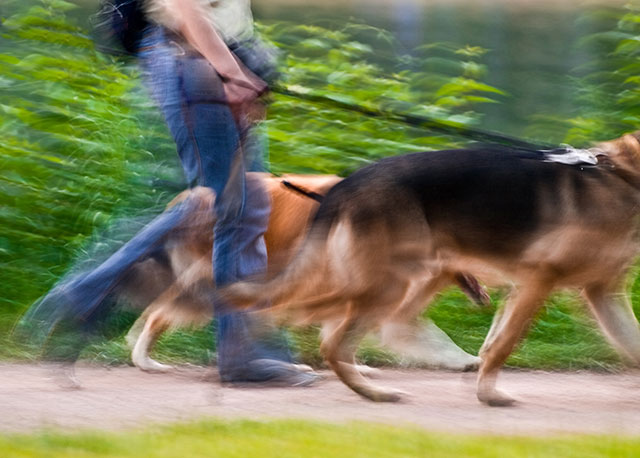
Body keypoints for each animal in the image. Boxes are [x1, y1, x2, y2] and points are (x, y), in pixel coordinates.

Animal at [224, 132, 640, 404]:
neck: (624, 178)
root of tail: (345, 185)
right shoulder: (539, 281)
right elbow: (503, 345)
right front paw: (489, 395)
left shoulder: (600, 292)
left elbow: (632, 344)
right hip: (388, 286)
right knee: (326, 334)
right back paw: (373, 392)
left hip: (393, 283)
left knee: (323, 321)